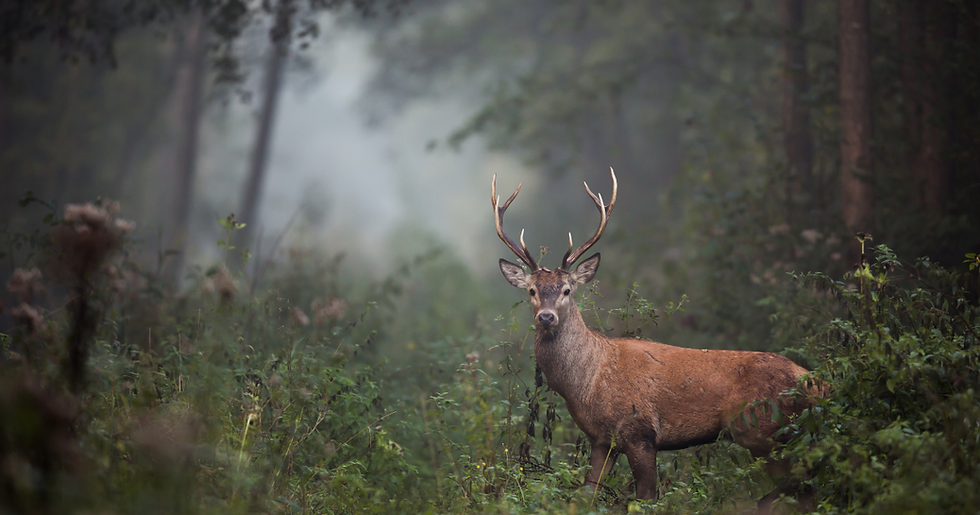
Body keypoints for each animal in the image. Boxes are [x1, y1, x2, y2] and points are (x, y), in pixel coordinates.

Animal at [492, 168, 820, 511]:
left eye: (567, 290)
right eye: (532, 290)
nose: (546, 317)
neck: (587, 383)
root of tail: (814, 382)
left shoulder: (640, 432)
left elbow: (645, 499)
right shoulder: (602, 440)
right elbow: (586, 495)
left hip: (764, 430)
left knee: (801, 484)